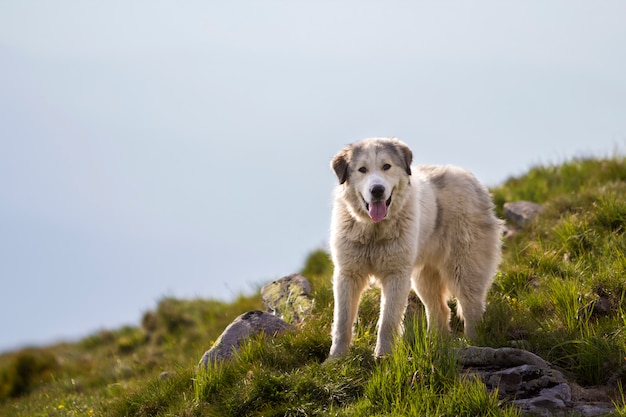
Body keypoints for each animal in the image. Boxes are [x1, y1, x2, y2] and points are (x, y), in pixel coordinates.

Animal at [330, 137, 500, 358]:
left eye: (386, 166)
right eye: (362, 169)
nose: (377, 190)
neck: (374, 231)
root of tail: (469, 177)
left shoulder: (396, 275)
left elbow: (388, 321)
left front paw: (383, 356)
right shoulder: (348, 274)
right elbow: (342, 322)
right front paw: (335, 359)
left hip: (464, 267)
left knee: (471, 305)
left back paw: (474, 343)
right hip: (423, 277)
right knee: (440, 309)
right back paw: (435, 343)